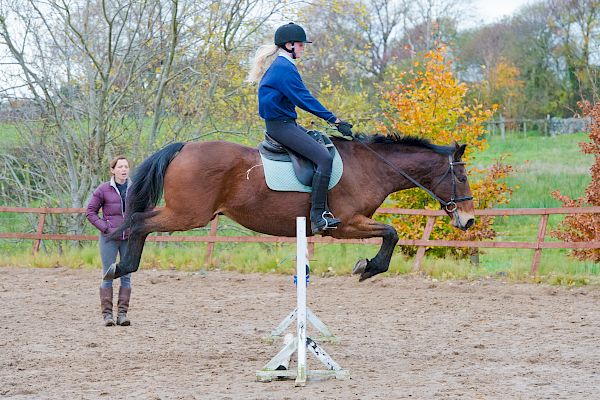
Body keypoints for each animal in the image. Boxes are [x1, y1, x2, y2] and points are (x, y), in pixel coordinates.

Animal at [106, 134, 474, 282]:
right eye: (462, 176)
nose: (468, 221)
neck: (371, 166)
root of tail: (184, 148)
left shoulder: (353, 224)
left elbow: (390, 233)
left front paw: (369, 266)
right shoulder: (345, 225)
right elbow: (392, 232)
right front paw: (369, 267)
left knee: (139, 221)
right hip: (187, 215)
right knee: (138, 221)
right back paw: (121, 268)